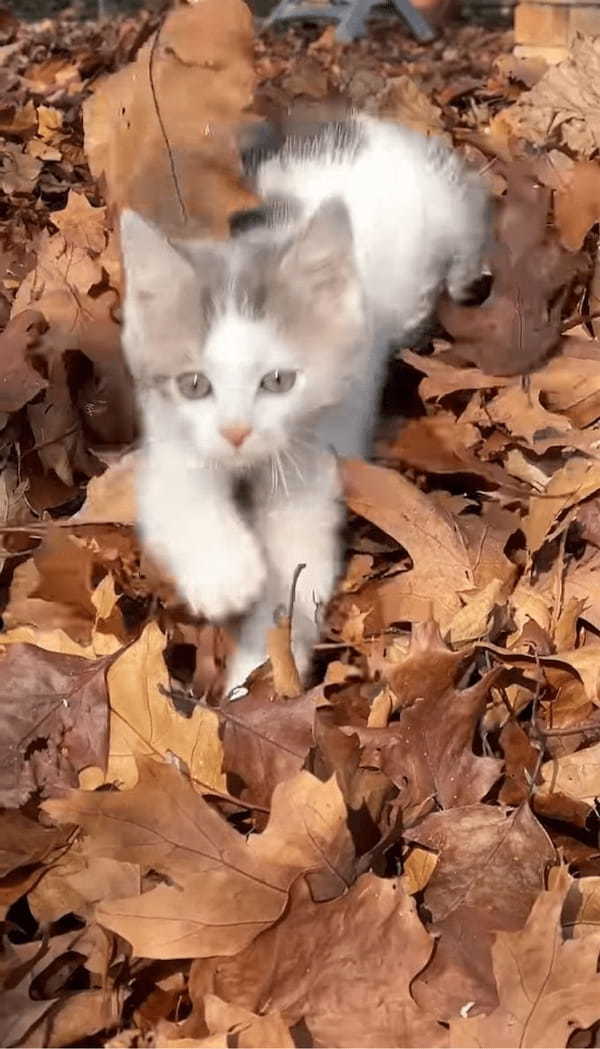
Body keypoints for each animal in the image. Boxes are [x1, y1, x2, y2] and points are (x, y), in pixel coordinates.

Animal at [119, 114, 488, 696]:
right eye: (194, 384)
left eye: (278, 381)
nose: (236, 432)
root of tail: (374, 129)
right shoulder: (168, 434)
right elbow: (175, 493)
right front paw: (226, 573)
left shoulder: (320, 455)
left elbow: (298, 571)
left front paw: (257, 680)